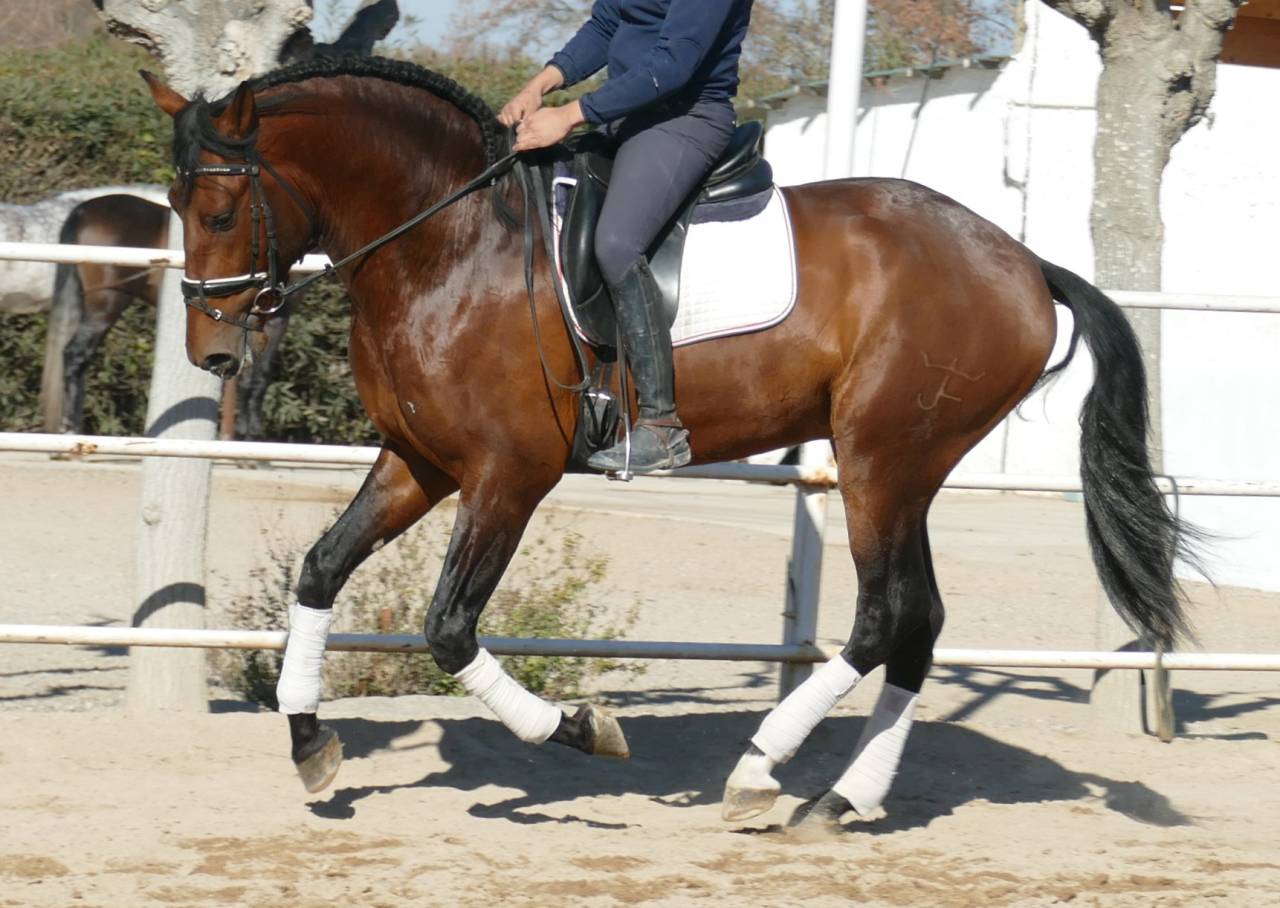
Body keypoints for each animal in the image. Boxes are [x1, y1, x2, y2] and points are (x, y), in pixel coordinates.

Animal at [39, 194, 292, 437]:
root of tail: (82, 211)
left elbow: (253, 373)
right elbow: (256, 373)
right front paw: (252, 434)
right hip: (105, 306)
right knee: (75, 355)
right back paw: (72, 428)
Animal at [142, 55, 1196, 829]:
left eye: (223, 210)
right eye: (176, 206)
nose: (212, 353)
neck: (450, 240)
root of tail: (1020, 259)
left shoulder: (508, 476)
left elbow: (448, 627)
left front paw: (579, 727)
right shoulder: (424, 462)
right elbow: (320, 570)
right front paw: (311, 748)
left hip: (880, 460)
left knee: (881, 616)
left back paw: (761, 770)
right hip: (907, 470)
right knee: (919, 622)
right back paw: (842, 799)